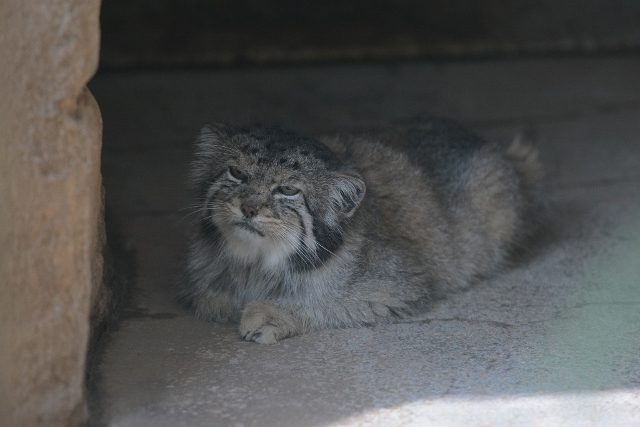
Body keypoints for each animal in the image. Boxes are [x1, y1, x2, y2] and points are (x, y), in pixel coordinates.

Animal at [180, 118, 544, 344]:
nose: (249, 209)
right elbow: (206, 297)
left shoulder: (396, 287)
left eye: (287, 190)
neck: (256, 264)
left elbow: (325, 301)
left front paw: (271, 314)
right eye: (237, 173)